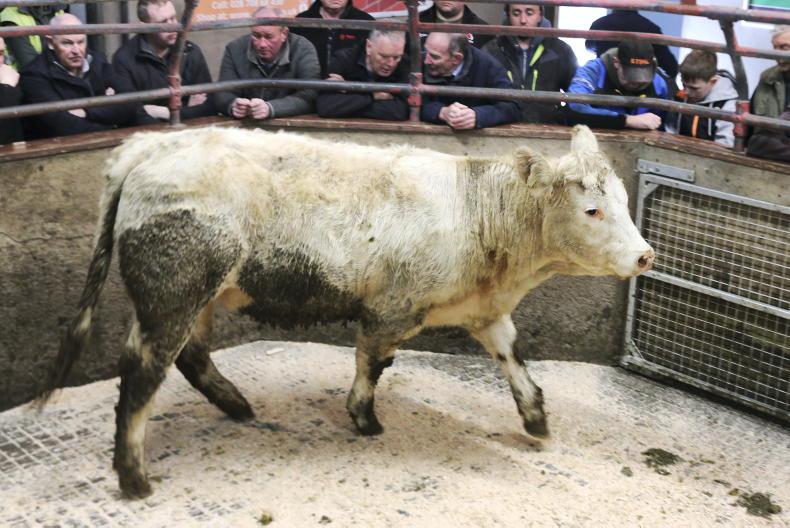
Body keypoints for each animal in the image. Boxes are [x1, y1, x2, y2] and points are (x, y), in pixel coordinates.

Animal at [38, 124, 654, 499]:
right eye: (592, 209)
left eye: (623, 202)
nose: (645, 255)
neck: (478, 212)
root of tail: (145, 147)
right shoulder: (391, 309)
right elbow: (371, 362)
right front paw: (363, 418)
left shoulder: (486, 311)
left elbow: (515, 362)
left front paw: (536, 420)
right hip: (174, 291)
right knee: (143, 371)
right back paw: (134, 475)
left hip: (200, 295)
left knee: (191, 357)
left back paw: (236, 405)